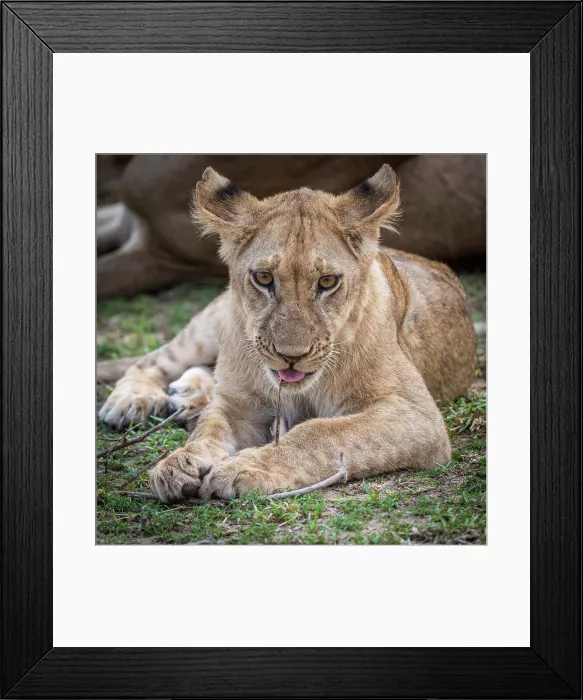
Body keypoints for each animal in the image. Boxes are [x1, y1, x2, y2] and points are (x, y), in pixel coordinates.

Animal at [98, 164, 476, 503]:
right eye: (263, 278)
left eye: (328, 281)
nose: (291, 356)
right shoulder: (240, 405)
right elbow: (211, 427)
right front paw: (179, 463)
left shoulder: (416, 414)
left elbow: (320, 432)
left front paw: (245, 467)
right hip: (210, 327)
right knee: (153, 362)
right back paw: (133, 401)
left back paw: (189, 396)